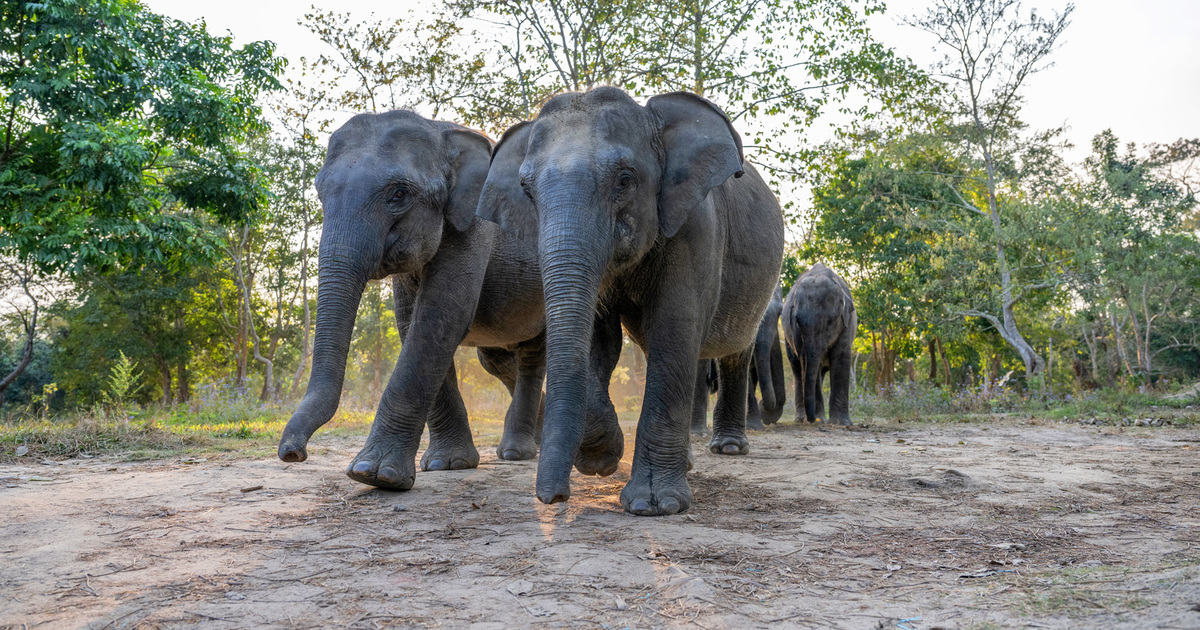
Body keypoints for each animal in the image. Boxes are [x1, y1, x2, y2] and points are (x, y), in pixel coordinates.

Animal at [477, 87, 787, 516]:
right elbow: (599, 340)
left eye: (625, 181)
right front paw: (599, 460)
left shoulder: (696, 226)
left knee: (733, 352)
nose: (553, 498)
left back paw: (727, 448)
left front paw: (654, 504)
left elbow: (673, 329)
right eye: (526, 190)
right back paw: (688, 462)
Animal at [782, 262, 859, 424]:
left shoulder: (847, 323)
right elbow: (808, 364)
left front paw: (841, 423)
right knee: (798, 369)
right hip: (787, 340)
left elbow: (841, 358)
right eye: (797, 321)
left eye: (830, 322)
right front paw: (820, 420)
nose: (812, 420)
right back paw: (802, 418)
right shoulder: (796, 332)